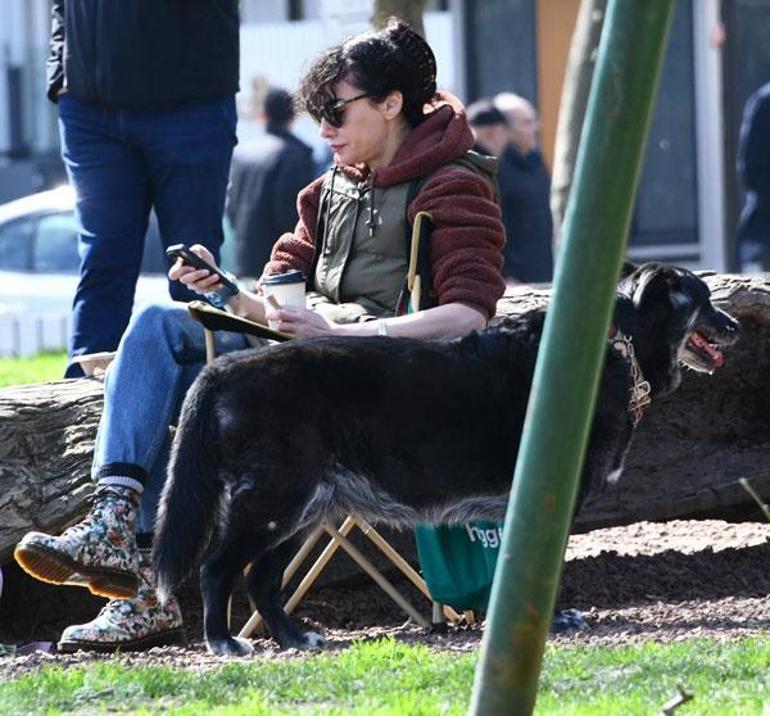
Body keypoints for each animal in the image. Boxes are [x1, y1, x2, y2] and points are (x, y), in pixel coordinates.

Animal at [152, 262, 736, 656]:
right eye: (705, 298)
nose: (736, 326)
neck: (619, 345)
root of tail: (222, 370)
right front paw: (552, 622)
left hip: (303, 511)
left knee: (261, 579)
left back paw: (296, 637)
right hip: (275, 503)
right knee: (217, 568)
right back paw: (223, 642)